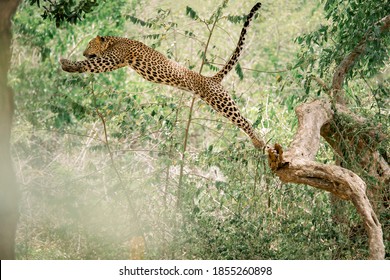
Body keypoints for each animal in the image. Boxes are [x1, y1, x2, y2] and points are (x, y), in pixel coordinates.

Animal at [61, 2, 266, 149]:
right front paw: (70, 65)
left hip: (221, 101)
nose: (83, 52)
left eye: (89, 44)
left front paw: (67, 64)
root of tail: (211, 78)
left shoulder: (111, 59)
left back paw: (259, 143)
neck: (114, 41)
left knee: (244, 121)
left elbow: (90, 64)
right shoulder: (115, 62)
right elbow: (91, 66)